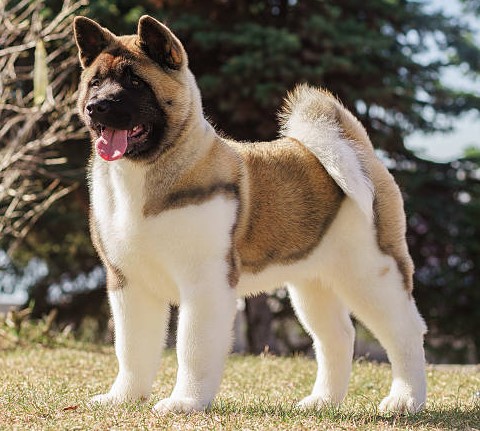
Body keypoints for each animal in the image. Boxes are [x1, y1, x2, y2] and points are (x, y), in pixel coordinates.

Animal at [73, 16, 426, 416]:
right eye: (95, 82)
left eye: (135, 83)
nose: (97, 106)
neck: (146, 173)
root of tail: (358, 149)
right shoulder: (129, 283)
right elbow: (132, 348)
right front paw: (123, 398)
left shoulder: (205, 283)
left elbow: (192, 348)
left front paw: (185, 403)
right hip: (312, 282)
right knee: (337, 335)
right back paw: (322, 402)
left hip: (371, 271)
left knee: (404, 331)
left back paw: (405, 400)